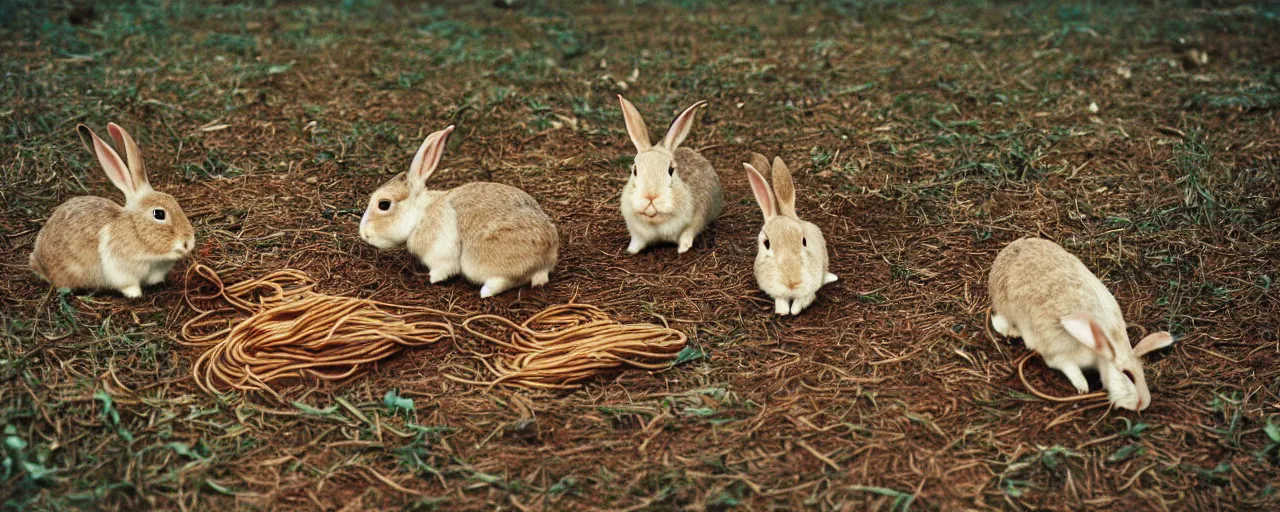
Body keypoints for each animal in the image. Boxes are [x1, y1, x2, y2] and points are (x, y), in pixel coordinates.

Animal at [30, 123, 197, 298]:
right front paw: (136, 295)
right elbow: (129, 285)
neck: (135, 229)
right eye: (159, 214)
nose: (188, 243)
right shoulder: (120, 270)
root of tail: (37, 258)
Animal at [360, 125, 560, 298]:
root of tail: (545, 261)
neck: (420, 214)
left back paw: (484, 292)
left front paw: (432, 279)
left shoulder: (441, 255)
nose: (363, 234)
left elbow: (443, 270)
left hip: (481, 262)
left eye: (384, 204)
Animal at [616, 94, 721, 253]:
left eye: (671, 170)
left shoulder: (696, 220)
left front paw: (683, 249)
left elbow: (687, 233)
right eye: (635, 170)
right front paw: (631, 251)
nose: (651, 196)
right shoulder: (636, 232)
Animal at [747, 152, 834, 313]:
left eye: (804, 241)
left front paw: (794, 310)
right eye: (766, 244)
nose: (793, 282)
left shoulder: (810, 286)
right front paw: (782, 312)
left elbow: (803, 300)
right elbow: (781, 301)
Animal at [988, 236, 1177, 412]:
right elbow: (1070, 369)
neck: (1103, 350)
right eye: (1128, 375)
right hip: (1008, 309)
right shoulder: (1061, 357)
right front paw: (1083, 387)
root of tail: (1005, 253)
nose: (1143, 404)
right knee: (999, 320)